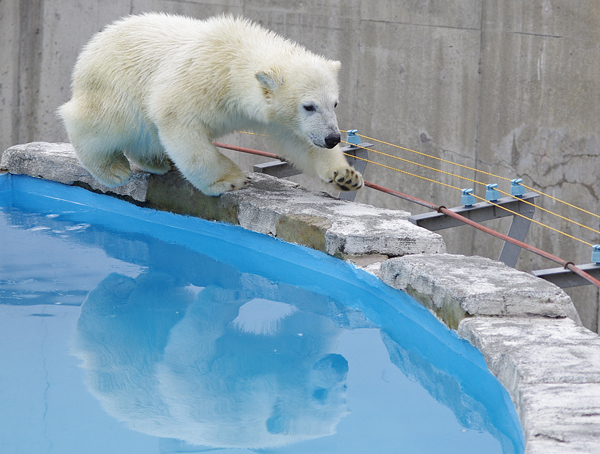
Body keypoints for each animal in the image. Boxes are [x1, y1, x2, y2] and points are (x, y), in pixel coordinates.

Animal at [58, 12, 364, 195]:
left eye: (335, 104)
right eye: (308, 106)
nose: (333, 138)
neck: (234, 58)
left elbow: (297, 139)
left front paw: (345, 175)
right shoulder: (199, 81)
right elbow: (178, 124)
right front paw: (231, 179)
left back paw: (158, 161)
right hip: (114, 87)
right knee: (100, 122)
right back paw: (113, 170)